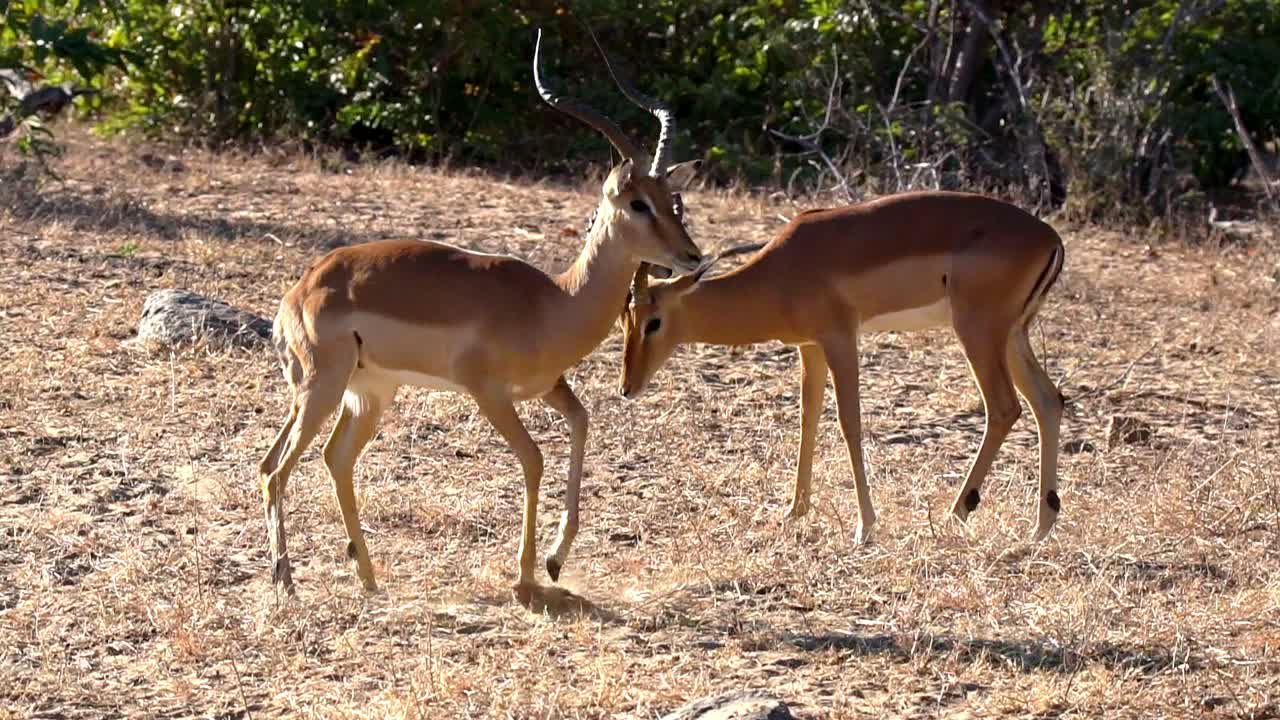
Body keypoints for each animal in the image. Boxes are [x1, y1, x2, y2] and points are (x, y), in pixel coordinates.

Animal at [258, 29, 704, 595]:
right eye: (638, 203)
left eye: (673, 198)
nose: (691, 255)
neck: (555, 303)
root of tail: (298, 292)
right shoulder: (488, 393)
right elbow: (533, 458)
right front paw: (526, 572)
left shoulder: (548, 386)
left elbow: (582, 422)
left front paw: (555, 560)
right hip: (324, 388)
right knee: (277, 468)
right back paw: (287, 582)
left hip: (366, 393)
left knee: (327, 458)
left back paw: (368, 576)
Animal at [619, 192, 1066, 542]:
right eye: (625, 320)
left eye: (653, 321)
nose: (627, 387)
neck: (781, 270)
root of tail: (1051, 237)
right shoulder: (810, 348)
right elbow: (808, 419)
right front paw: (794, 512)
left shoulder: (840, 339)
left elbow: (849, 422)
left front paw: (865, 527)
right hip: (1012, 335)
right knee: (1048, 401)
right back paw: (1040, 527)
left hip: (978, 332)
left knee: (1005, 407)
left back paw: (957, 512)